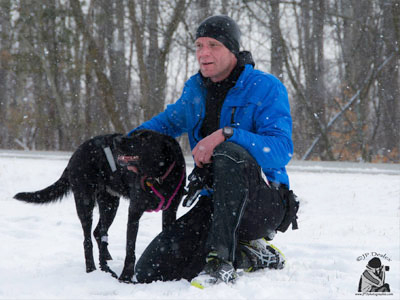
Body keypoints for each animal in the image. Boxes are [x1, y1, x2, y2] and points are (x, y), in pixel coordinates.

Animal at [13, 130, 186, 282]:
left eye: (144, 138)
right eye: (135, 134)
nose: (117, 140)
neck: (157, 177)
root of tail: (75, 154)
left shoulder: (170, 211)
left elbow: (168, 240)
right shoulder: (134, 211)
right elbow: (130, 249)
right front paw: (125, 277)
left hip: (110, 204)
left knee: (99, 232)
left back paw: (105, 260)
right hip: (85, 202)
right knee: (87, 239)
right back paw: (92, 268)